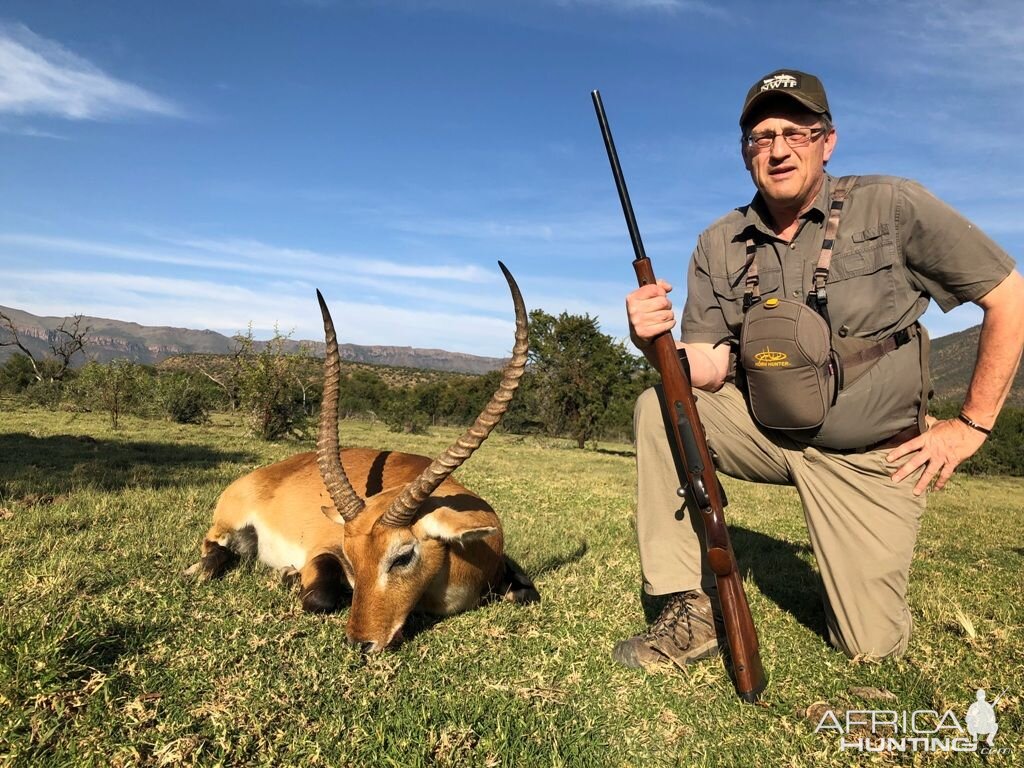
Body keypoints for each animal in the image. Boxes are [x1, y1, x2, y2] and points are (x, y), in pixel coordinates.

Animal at [187, 264, 536, 651]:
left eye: (403, 556)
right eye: (350, 556)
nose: (360, 642)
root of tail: (265, 473)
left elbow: (524, 594)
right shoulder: (324, 551)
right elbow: (319, 597)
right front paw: (293, 577)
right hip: (227, 525)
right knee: (215, 547)